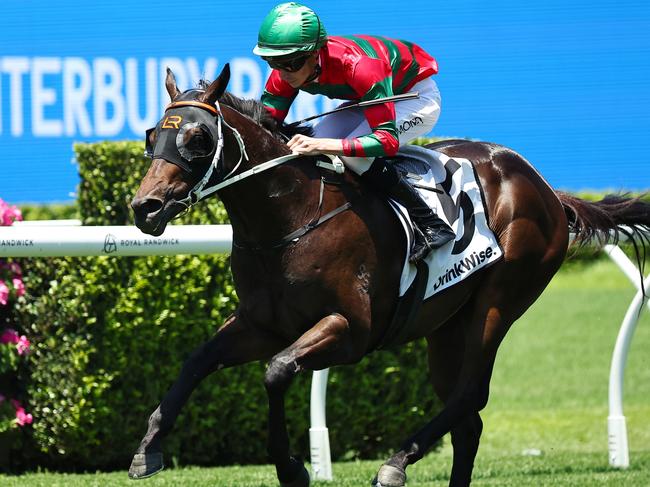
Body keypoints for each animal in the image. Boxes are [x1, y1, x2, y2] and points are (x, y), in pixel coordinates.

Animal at [128, 65, 648, 487]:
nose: (144, 208)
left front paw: (292, 467)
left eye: (197, 139)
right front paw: (147, 450)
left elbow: (276, 371)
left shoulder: (350, 329)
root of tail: (546, 188)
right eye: (152, 136)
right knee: (468, 420)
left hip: (500, 300)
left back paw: (395, 462)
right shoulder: (261, 324)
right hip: (446, 326)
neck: (291, 217)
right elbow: (197, 361)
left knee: (469, 394)